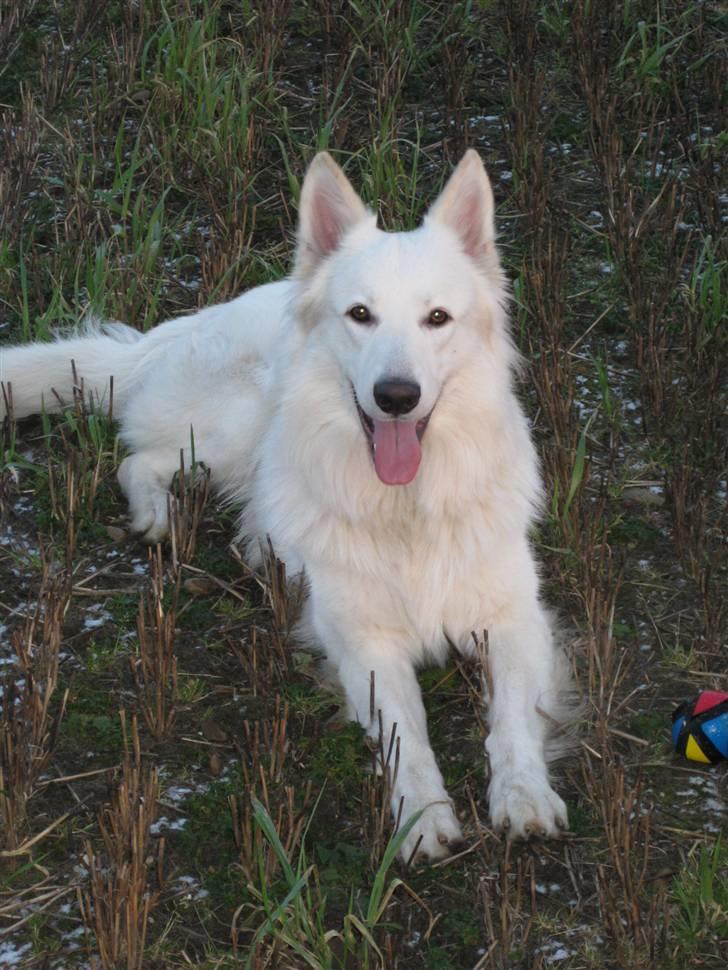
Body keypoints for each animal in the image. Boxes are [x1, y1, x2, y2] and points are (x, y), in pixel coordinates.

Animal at [1, 153, 568, 864]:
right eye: (360, 314)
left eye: (438, 318)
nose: (397, 396)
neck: (406, 508)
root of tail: (176, 330)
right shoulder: (364, 640)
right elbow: (406, 732)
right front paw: (421, 817)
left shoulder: (515, 619)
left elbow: (513, 720)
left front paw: (524, 797)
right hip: (240, 423)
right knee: (138, 461)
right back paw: (163, 517)